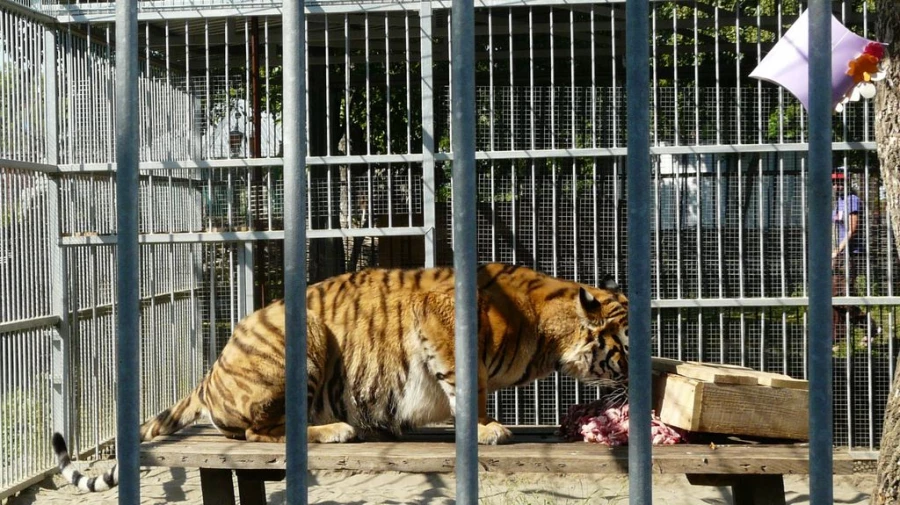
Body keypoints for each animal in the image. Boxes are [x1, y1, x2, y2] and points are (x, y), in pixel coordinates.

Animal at [49, 262, 624, 490]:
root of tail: (209, 371)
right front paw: (486, 428)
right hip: (304, 336)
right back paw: (341, 429)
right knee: (260, 431)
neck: (547, 332)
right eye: (625, 342)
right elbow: (468, 383)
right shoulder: (440, 319)